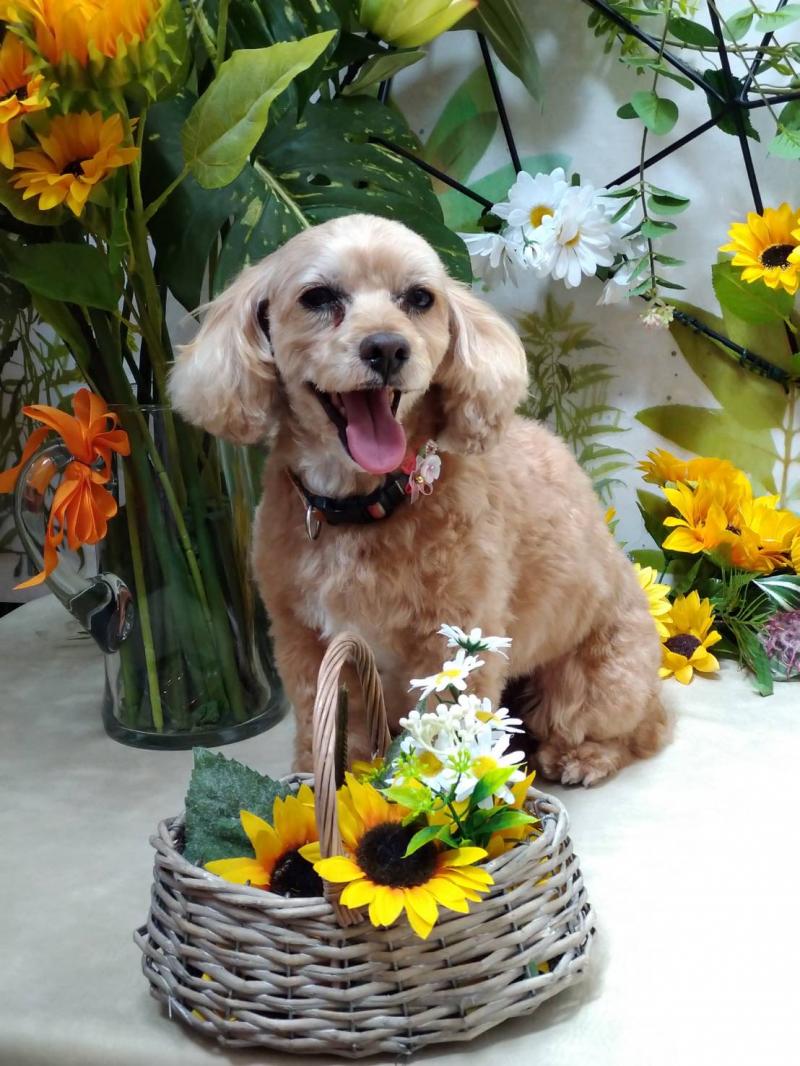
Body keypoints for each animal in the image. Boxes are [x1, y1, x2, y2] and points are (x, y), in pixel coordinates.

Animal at [169, 214, 668, 785]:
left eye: (419, 298)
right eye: (318, 297)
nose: (387, 348)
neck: (363, 507)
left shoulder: (454, 643)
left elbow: (444, 727)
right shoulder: (303, 639)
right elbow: (327, 725)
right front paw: (316, 780)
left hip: (598, 682)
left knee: (631, 730)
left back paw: (584, 758)